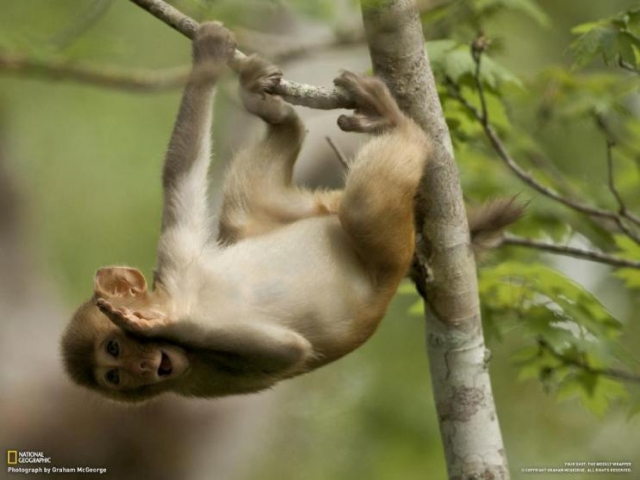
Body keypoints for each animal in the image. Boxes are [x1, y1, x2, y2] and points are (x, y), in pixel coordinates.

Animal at [58, 23, 520, 404]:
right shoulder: (197, 373)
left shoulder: (176, 268)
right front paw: (157, 328)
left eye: (115, 348)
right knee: (357, 207)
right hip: (378, 242)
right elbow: (288, 352)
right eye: (115, 376)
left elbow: (180, 168)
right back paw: (393, 130)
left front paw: (208, 52)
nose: (140, 368)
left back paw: (305, 118)